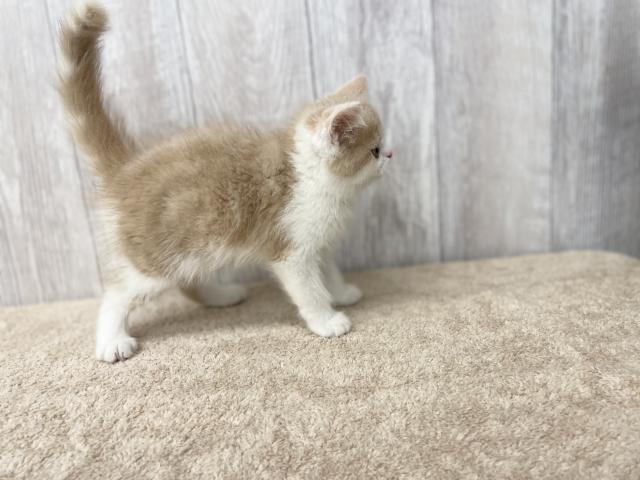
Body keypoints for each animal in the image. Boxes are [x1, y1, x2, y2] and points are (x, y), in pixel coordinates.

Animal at [58, 2, 392, 362]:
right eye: (373, 150)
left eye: (382, 144)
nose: (391, 154)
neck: (313, 177)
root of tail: (128, 169)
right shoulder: (290, 248)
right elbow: (308, 289)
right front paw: (327, 320)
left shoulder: (318, 241)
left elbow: (328, 270)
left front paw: (341, 292)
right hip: (154, 255)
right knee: (118, 293)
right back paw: (112, 340)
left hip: (194, 245)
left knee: (186, 280)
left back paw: (221, 296)